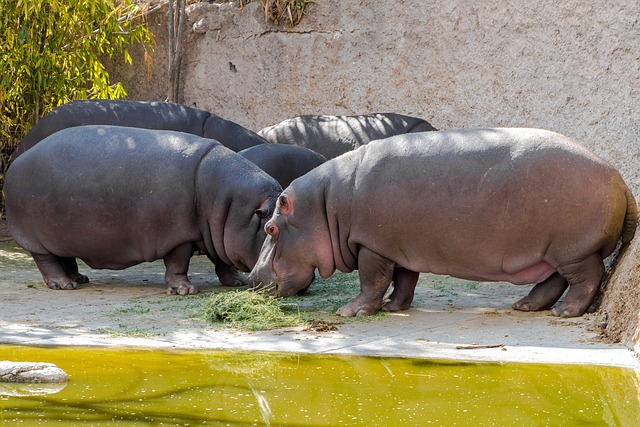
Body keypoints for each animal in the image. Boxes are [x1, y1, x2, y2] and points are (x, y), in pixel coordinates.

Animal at [4, 125, 280, 296]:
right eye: (269, 227)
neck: (230, 203)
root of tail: (15, 163)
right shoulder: (181, 235)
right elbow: (179, 262)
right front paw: (185, 290)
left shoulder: (215, 233)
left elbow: (221, 260)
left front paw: (237, 281)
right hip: (36, 236)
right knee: (46, 260)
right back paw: (64, 285)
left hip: (61, 234)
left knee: (65, 256)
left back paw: (78, 278)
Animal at [251, 129, 640, 320]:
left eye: (270, 229)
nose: (251, 277)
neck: (325, 205)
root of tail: (620, 179)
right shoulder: (399, 246)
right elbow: (404, 279)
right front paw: (394, 308)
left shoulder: (372, 245)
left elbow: (372, 280)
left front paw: (351, 311)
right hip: (549, 251)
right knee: (555, 280)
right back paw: (526, 306)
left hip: (572, 249)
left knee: (587, 277)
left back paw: (564, 312)